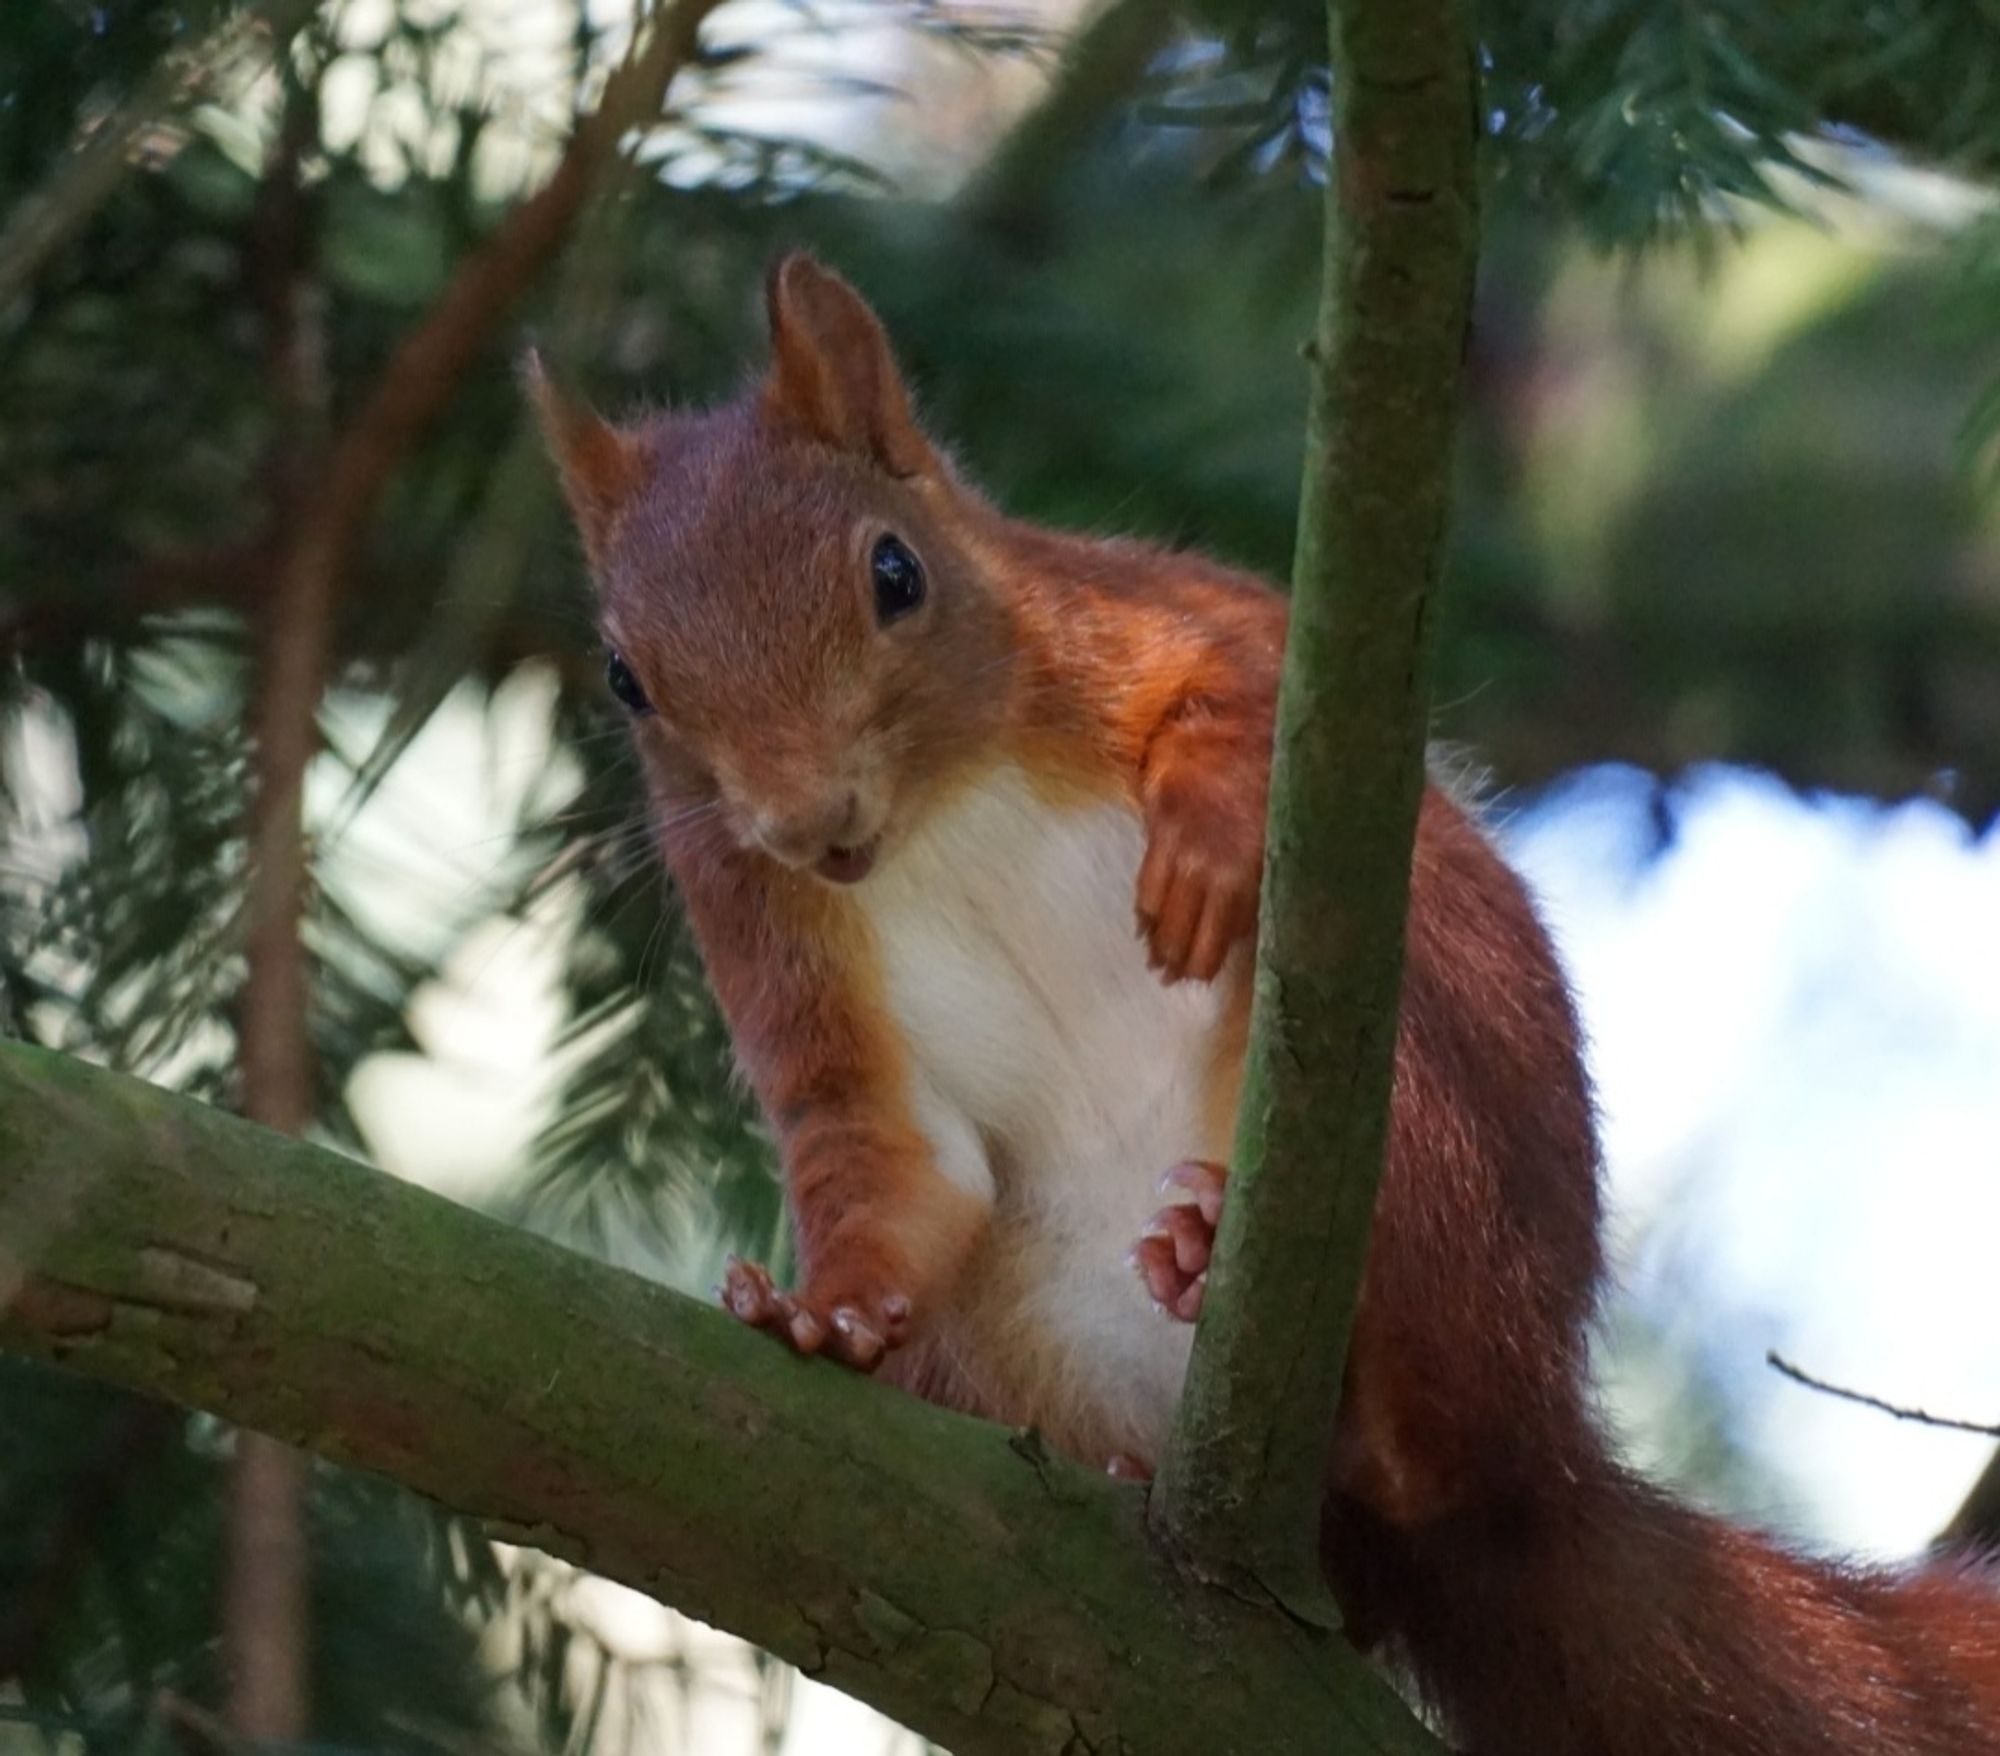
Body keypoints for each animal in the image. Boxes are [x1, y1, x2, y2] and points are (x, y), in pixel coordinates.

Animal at [532, 251, 2000, 1756]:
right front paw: (822, 1312)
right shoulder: (782, 958)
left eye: (896, 572)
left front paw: (1204, 832)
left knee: (1427, 1436)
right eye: (626, 679)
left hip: (1426, 1103)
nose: (809, 825)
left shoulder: (1163, 616)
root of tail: (1537, 1464)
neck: (939, 814)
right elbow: (889, 1163)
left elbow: (1235, 699)